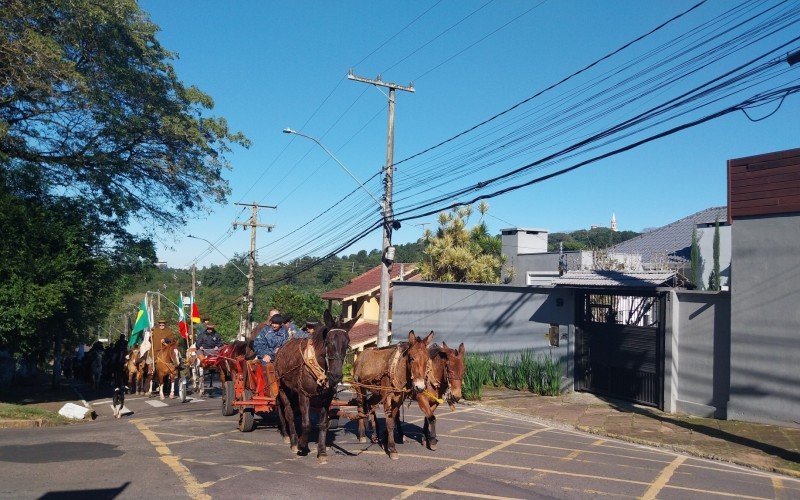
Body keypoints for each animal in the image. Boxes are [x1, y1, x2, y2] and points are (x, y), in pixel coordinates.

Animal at [272, 310, 354, 462]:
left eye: (347, 345)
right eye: (328, 342)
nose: (336, 376)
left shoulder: (326, 399)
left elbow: (323, 424)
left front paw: (321, 451)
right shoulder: (304, 395)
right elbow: (306, 424)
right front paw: (302, 445)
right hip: (283, 388)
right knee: (288, 414)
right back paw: (293, 440)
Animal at [354, 330, 434, 458]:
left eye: (427, 360)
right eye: (411, 358)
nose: (420, 387)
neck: (397, 370)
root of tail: (361, 354)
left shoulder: (398, 400)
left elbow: (392, 419)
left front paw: (385, 441)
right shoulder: (387, 398)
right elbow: (390, 423)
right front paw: (392, 449)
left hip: (377, 393)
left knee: (370, 404)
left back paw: (375, 435)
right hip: (359, 388)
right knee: (360, 408)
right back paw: (362, 435)